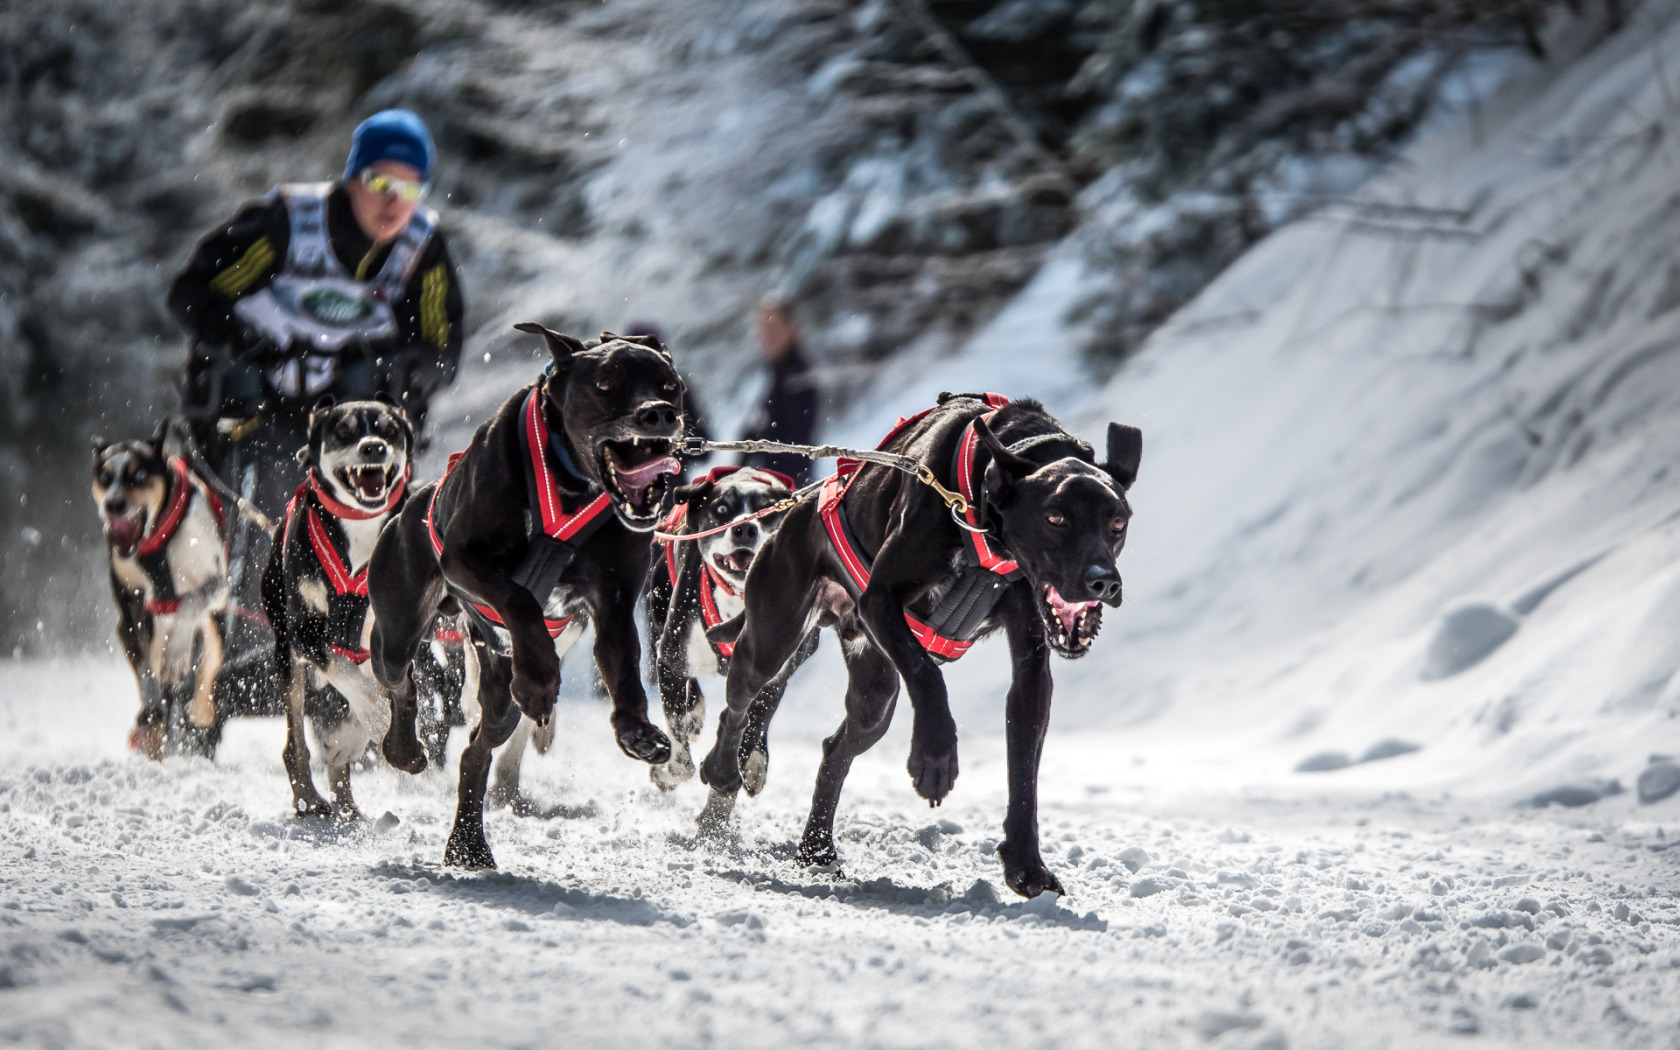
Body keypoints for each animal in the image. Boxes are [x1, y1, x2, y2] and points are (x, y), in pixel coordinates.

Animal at [93, 421, 231, 756]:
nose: (113, 504)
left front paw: (178, 654)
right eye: (104, 476)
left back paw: (199, 707)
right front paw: (152, 706)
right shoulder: (131, 610)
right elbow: (145, 668)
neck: (157, 540)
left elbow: (191, 602)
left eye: (140, 475)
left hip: (214, 625)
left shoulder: (218, 583)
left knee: (207, 665)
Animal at [262, 394, 420, 819]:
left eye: (389, 430)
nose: (373, 447)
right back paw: (308, 796)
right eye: (344, 431)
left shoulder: (391, 636)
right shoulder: (306, 633)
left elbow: (369, 696)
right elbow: (352, 682)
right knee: (295, 744)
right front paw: (383, 721)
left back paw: (347, 803)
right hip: (289, 658)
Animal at [366, 324, 682, 866]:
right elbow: (520, 599)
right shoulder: (463, 561)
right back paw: (404, 750)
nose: (659, 413)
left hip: (497, 696)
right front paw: (538, 674)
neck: (570, 481)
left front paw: (636, 729)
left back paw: (468, 845)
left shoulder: (615, 599)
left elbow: (622, 660)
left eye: (670, 385)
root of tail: (412, 501)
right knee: (401, 683)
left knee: (476, 750)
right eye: (606, 384)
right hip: (398, 631)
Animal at [641, 463, 819, 806]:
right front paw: (667, 772)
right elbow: (680, 752)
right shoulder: (672, 655)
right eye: (722, 509)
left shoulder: (775, 672)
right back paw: (695, 712)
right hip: (660, 610)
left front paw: (749, 762)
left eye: (768, 511)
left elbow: (755, 721)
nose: (745, 528)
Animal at [695, 389, 1142, 893]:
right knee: (739, 701)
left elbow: (1024, 768)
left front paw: (1026, 864)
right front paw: (934, 757)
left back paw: (817, 849)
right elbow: (926, 673)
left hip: (873, 696)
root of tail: (796, 507)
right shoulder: (880, 600)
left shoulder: (1030, 665)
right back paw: (722, 770)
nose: (1103, 581)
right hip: (773, 636)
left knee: (836, 750)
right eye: (1055, 517)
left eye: (1117, 523)